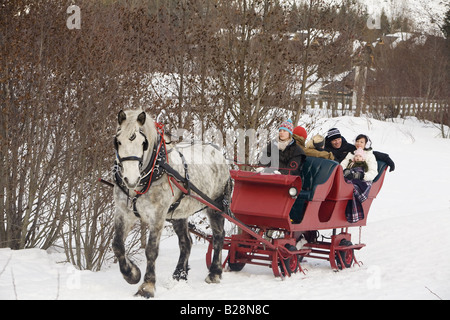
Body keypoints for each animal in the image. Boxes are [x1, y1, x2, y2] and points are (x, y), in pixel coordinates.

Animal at [112, 109, 230, 298]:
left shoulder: (157, 216)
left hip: (216, 207)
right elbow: (117, 245)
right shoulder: (124, 212)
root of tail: (218, 152)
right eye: (118, 141)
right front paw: (132, 274)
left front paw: (147, 286)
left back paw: (214, 273)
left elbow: (151, 250)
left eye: (143, 143)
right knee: (186, 242)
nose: (130, 179)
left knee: (219, 236)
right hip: (178, 214)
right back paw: (178, 275)